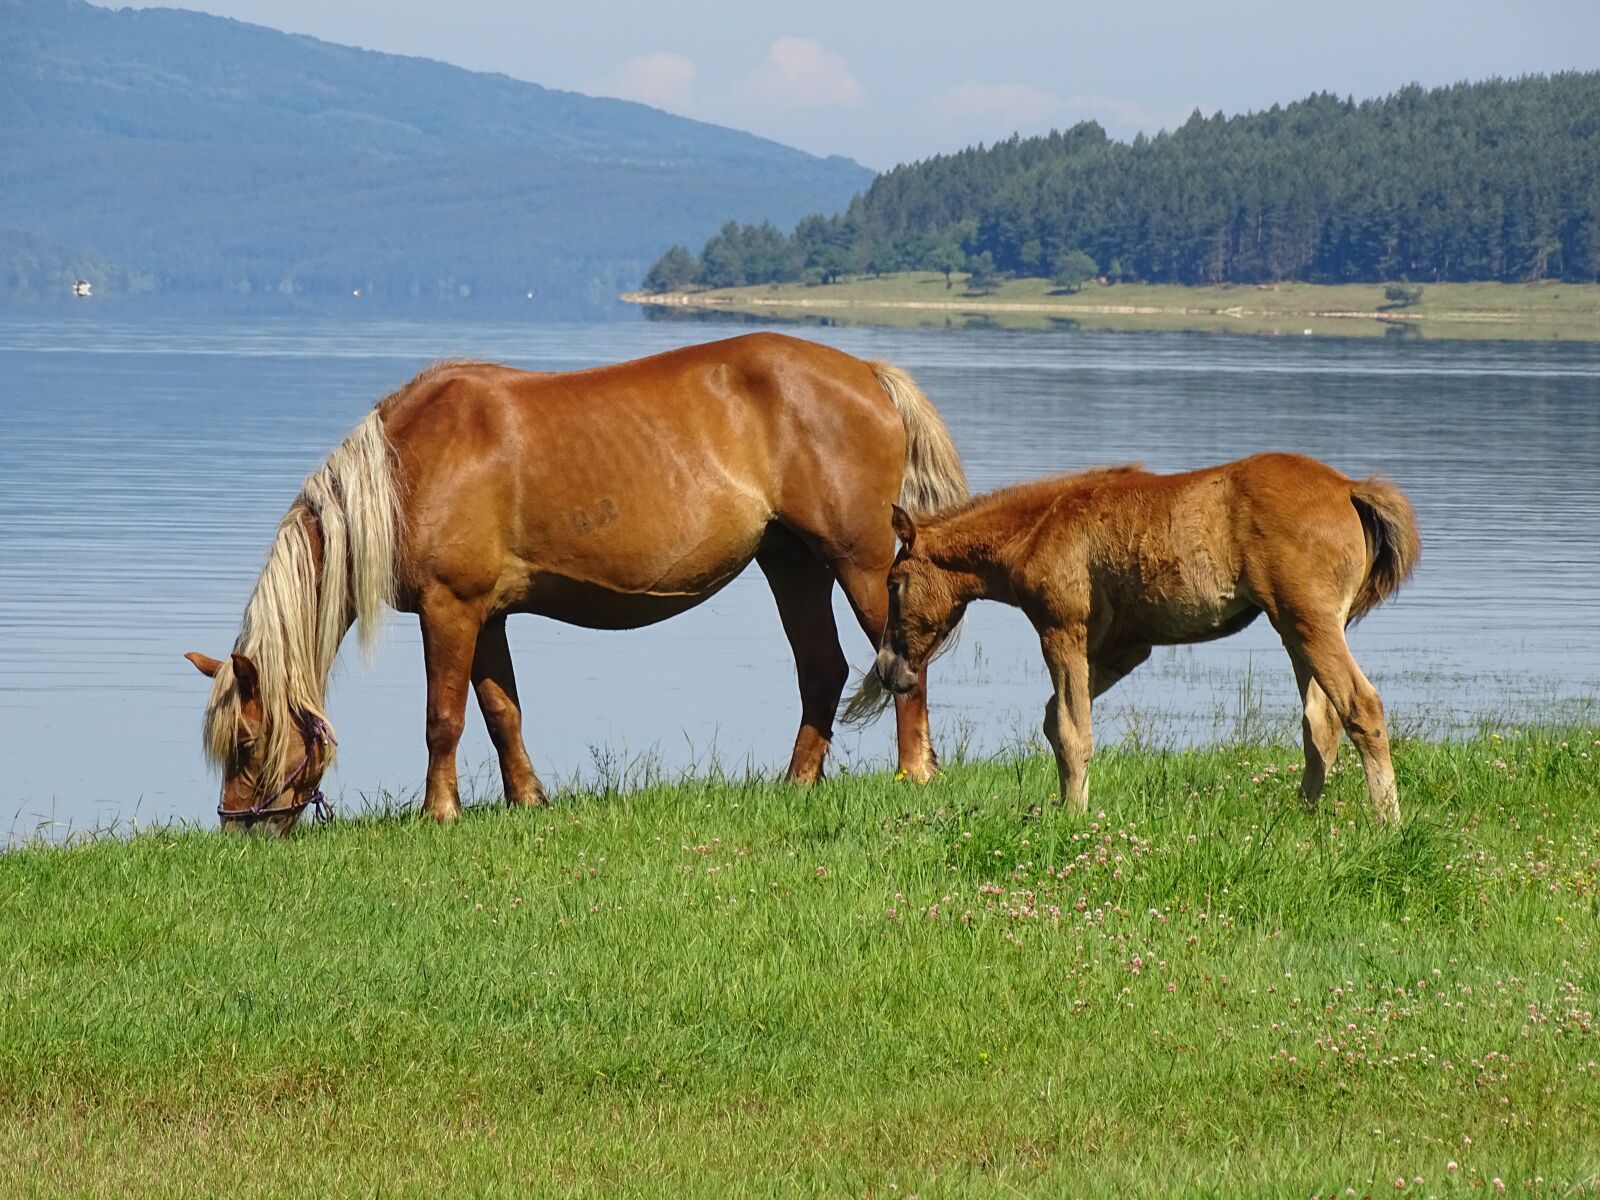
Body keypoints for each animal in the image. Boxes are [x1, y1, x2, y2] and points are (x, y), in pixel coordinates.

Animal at [186, 332, 968, 832]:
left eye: (248, 742)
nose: (240, 831)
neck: (407, 464)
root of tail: (867, 373)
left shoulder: (450, 608)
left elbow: (444, 718)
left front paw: (439, 812)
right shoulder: (487, 616)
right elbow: (502, 711)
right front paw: (527, 799)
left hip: (860, 561)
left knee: (903, 664)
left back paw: (915, 771)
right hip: (792, 564)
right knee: (822, 668)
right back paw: (797, 780)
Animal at [855, 453, 1420, 823]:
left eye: (894, 583)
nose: (887, 669)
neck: (1039, 527)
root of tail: (1347, 487)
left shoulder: (1061, 630)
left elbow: (1071, 729)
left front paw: (1074, 818)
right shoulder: (1126, 648)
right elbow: (1055, 721)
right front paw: (1067, 804)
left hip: (1310, 624)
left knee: (1361, 707)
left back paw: (1387, 822)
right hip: (1296, 631)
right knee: (1320, 723)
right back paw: (1302, 815)